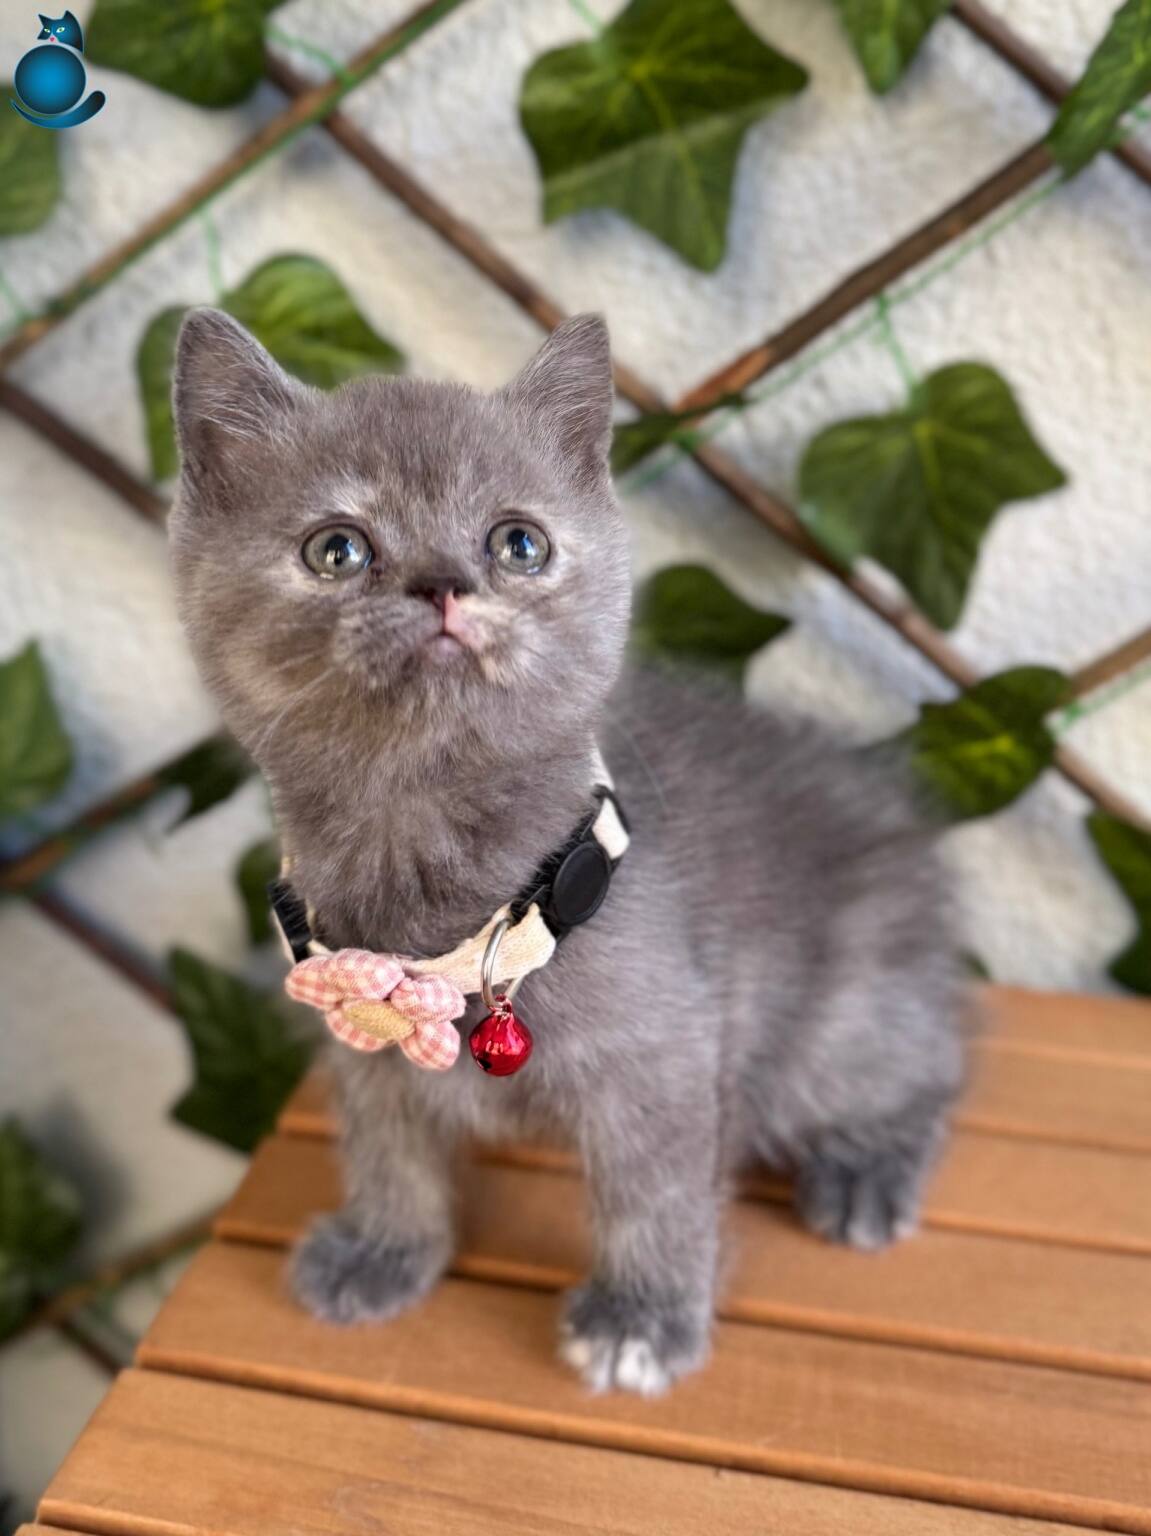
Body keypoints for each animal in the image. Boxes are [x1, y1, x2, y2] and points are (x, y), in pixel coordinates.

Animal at [169, 309, 967, 1395]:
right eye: (336, 549)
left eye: (518, 543)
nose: (445, 583)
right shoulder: (367, 1047)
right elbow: (388, 1153)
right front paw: (385, 1250)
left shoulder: (660, 1052)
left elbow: (654, 1195)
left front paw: (642, 1320)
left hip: (841, 1021)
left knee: (922, 1067)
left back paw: (862, 1174)